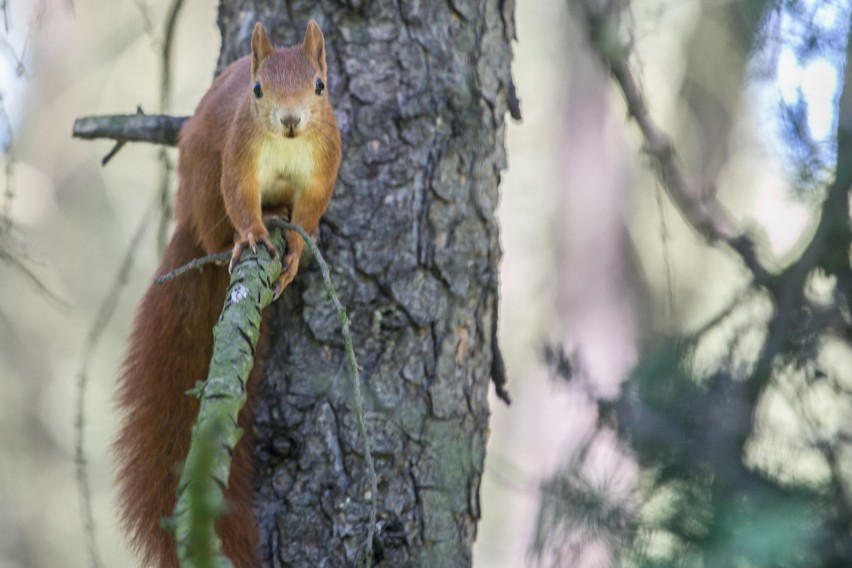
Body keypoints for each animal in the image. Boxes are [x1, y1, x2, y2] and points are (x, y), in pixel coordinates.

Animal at [115, 20, 344, 564]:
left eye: (320, 87)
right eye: (258, 89)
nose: (290, 120)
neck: (287, 147)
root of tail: (186, 218)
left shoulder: (323, 166)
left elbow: (310, 210)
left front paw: (296, 252)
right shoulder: (239, 158)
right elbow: (240, 198)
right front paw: (255, 235)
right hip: (204, 182)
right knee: (217, 227)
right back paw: (238, 238)